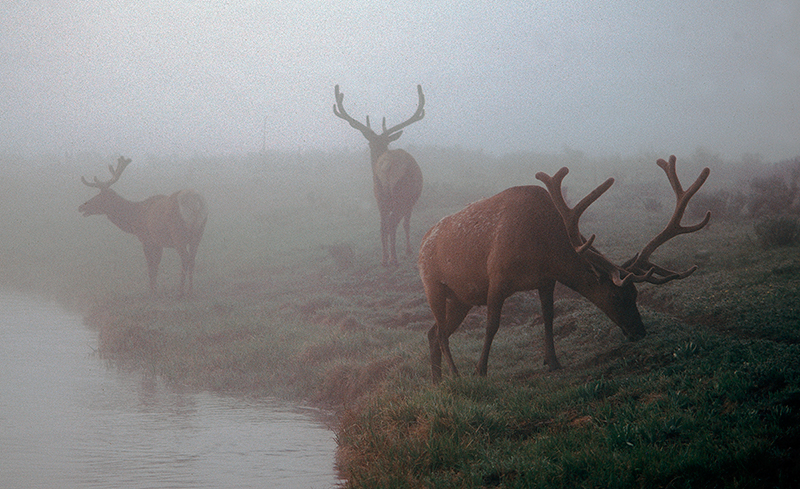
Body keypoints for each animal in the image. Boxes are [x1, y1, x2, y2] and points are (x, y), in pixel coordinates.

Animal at [79, 156, 206, 296]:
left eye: (99, 197)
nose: (81, 207)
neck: (136, 218)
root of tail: (195, 202)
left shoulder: (146, 238)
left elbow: (151, 265)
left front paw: (152, 291)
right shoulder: (158, 242)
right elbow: (156, 264)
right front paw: (155, 288)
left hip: (178, 233)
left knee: (185, 258)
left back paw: (180, 291)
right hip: (198, 233)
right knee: (193, 259)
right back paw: (190, 290)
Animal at [332, 85, 424, 264]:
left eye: (384, 142)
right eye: (370, 143)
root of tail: (387, 164)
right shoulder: (411, 200)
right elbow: (407, 224)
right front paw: (409, 251)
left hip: (379, 193)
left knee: (383, 225)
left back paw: (384, 259)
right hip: (400, 193)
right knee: (392, 222)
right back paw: (394, 259)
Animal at [422, 156, 708, 382]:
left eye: (636, 294)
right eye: (616, 295)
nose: (639, 332)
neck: (542, 247)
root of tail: (423, 241)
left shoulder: (546, 279)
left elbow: (549, 317)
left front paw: (553, 362)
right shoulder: (498, 276)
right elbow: (492, 325)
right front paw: (480, 371)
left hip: (461, 298)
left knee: (433, 332)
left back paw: (437, 382)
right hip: (432, 285)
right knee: (442, 333)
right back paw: (455, 375)